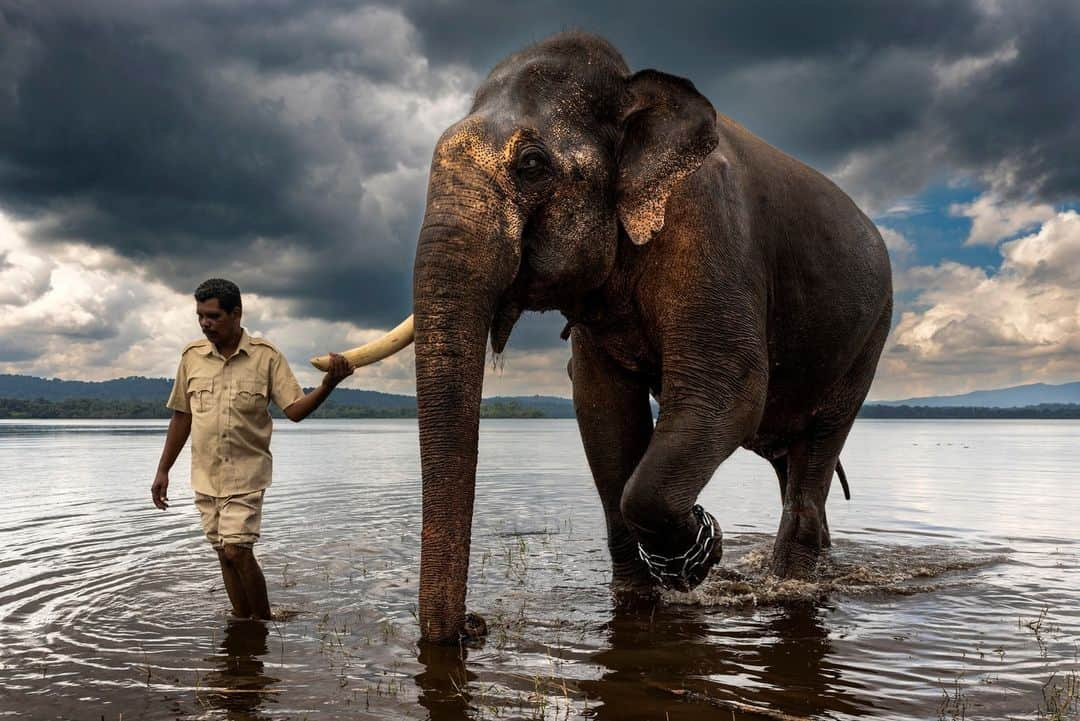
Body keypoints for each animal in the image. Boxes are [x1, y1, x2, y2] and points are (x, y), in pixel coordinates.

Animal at [319, 31, 894, 643]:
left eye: (531, 165)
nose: (475, 626)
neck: (630, 89)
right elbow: (601, 406)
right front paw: (645, 591)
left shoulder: (711, 230)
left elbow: (729, 389)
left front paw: (703, 551)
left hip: (871, 333)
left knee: (819, 445)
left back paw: (792, 584)